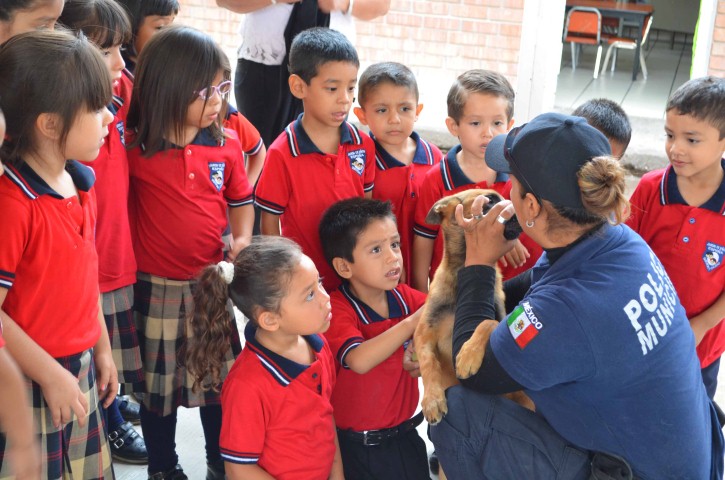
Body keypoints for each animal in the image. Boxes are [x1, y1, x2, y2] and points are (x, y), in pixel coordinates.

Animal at [412, 188, 532, 424]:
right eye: (489, 202)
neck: (462, 274)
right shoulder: (423, 334)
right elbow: (428, 363)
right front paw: (432, 399)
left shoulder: (500, 319)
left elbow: (487, 322)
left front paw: (468, 355)